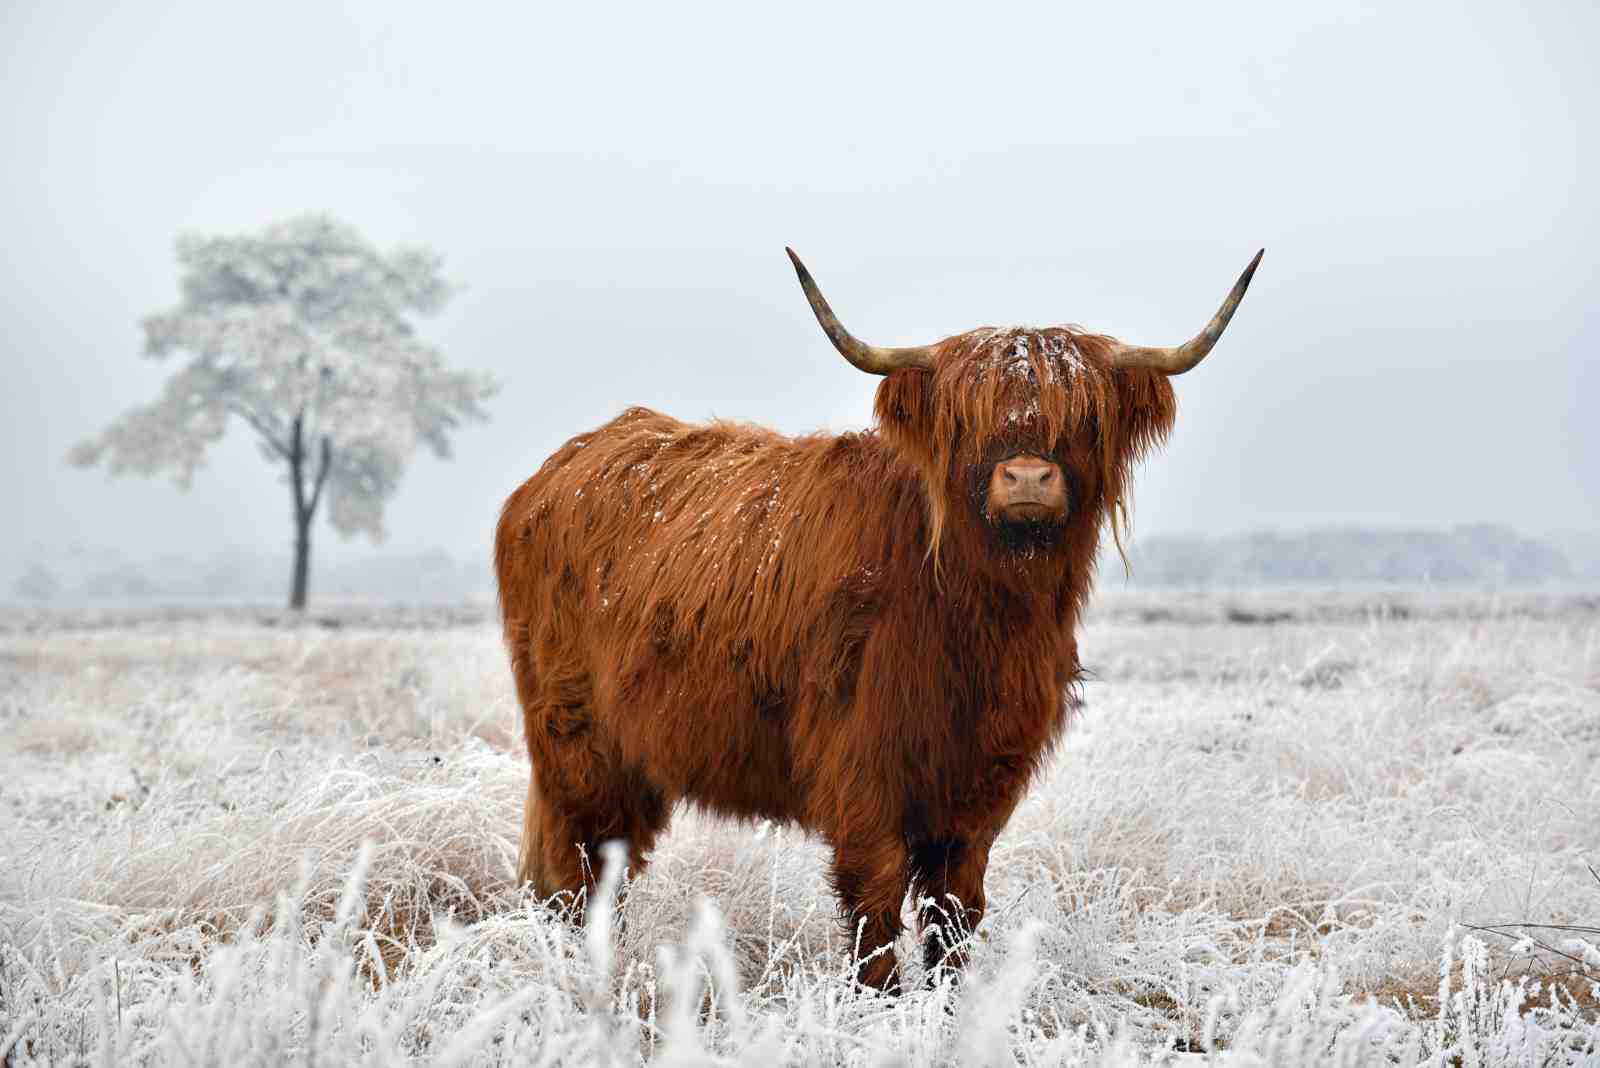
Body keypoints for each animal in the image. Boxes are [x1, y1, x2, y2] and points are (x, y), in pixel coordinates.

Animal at [494, 248, 1263, 990]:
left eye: (1081, 419)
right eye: (965, 420)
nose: (1026, 478)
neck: (978, 619)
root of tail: (557, 470)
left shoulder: (982, 782)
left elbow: (956, 909)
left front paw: (950, 1003)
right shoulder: (861, 766)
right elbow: (876, 901)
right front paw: (882, 1004)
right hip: (577, 744)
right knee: (580, 869)